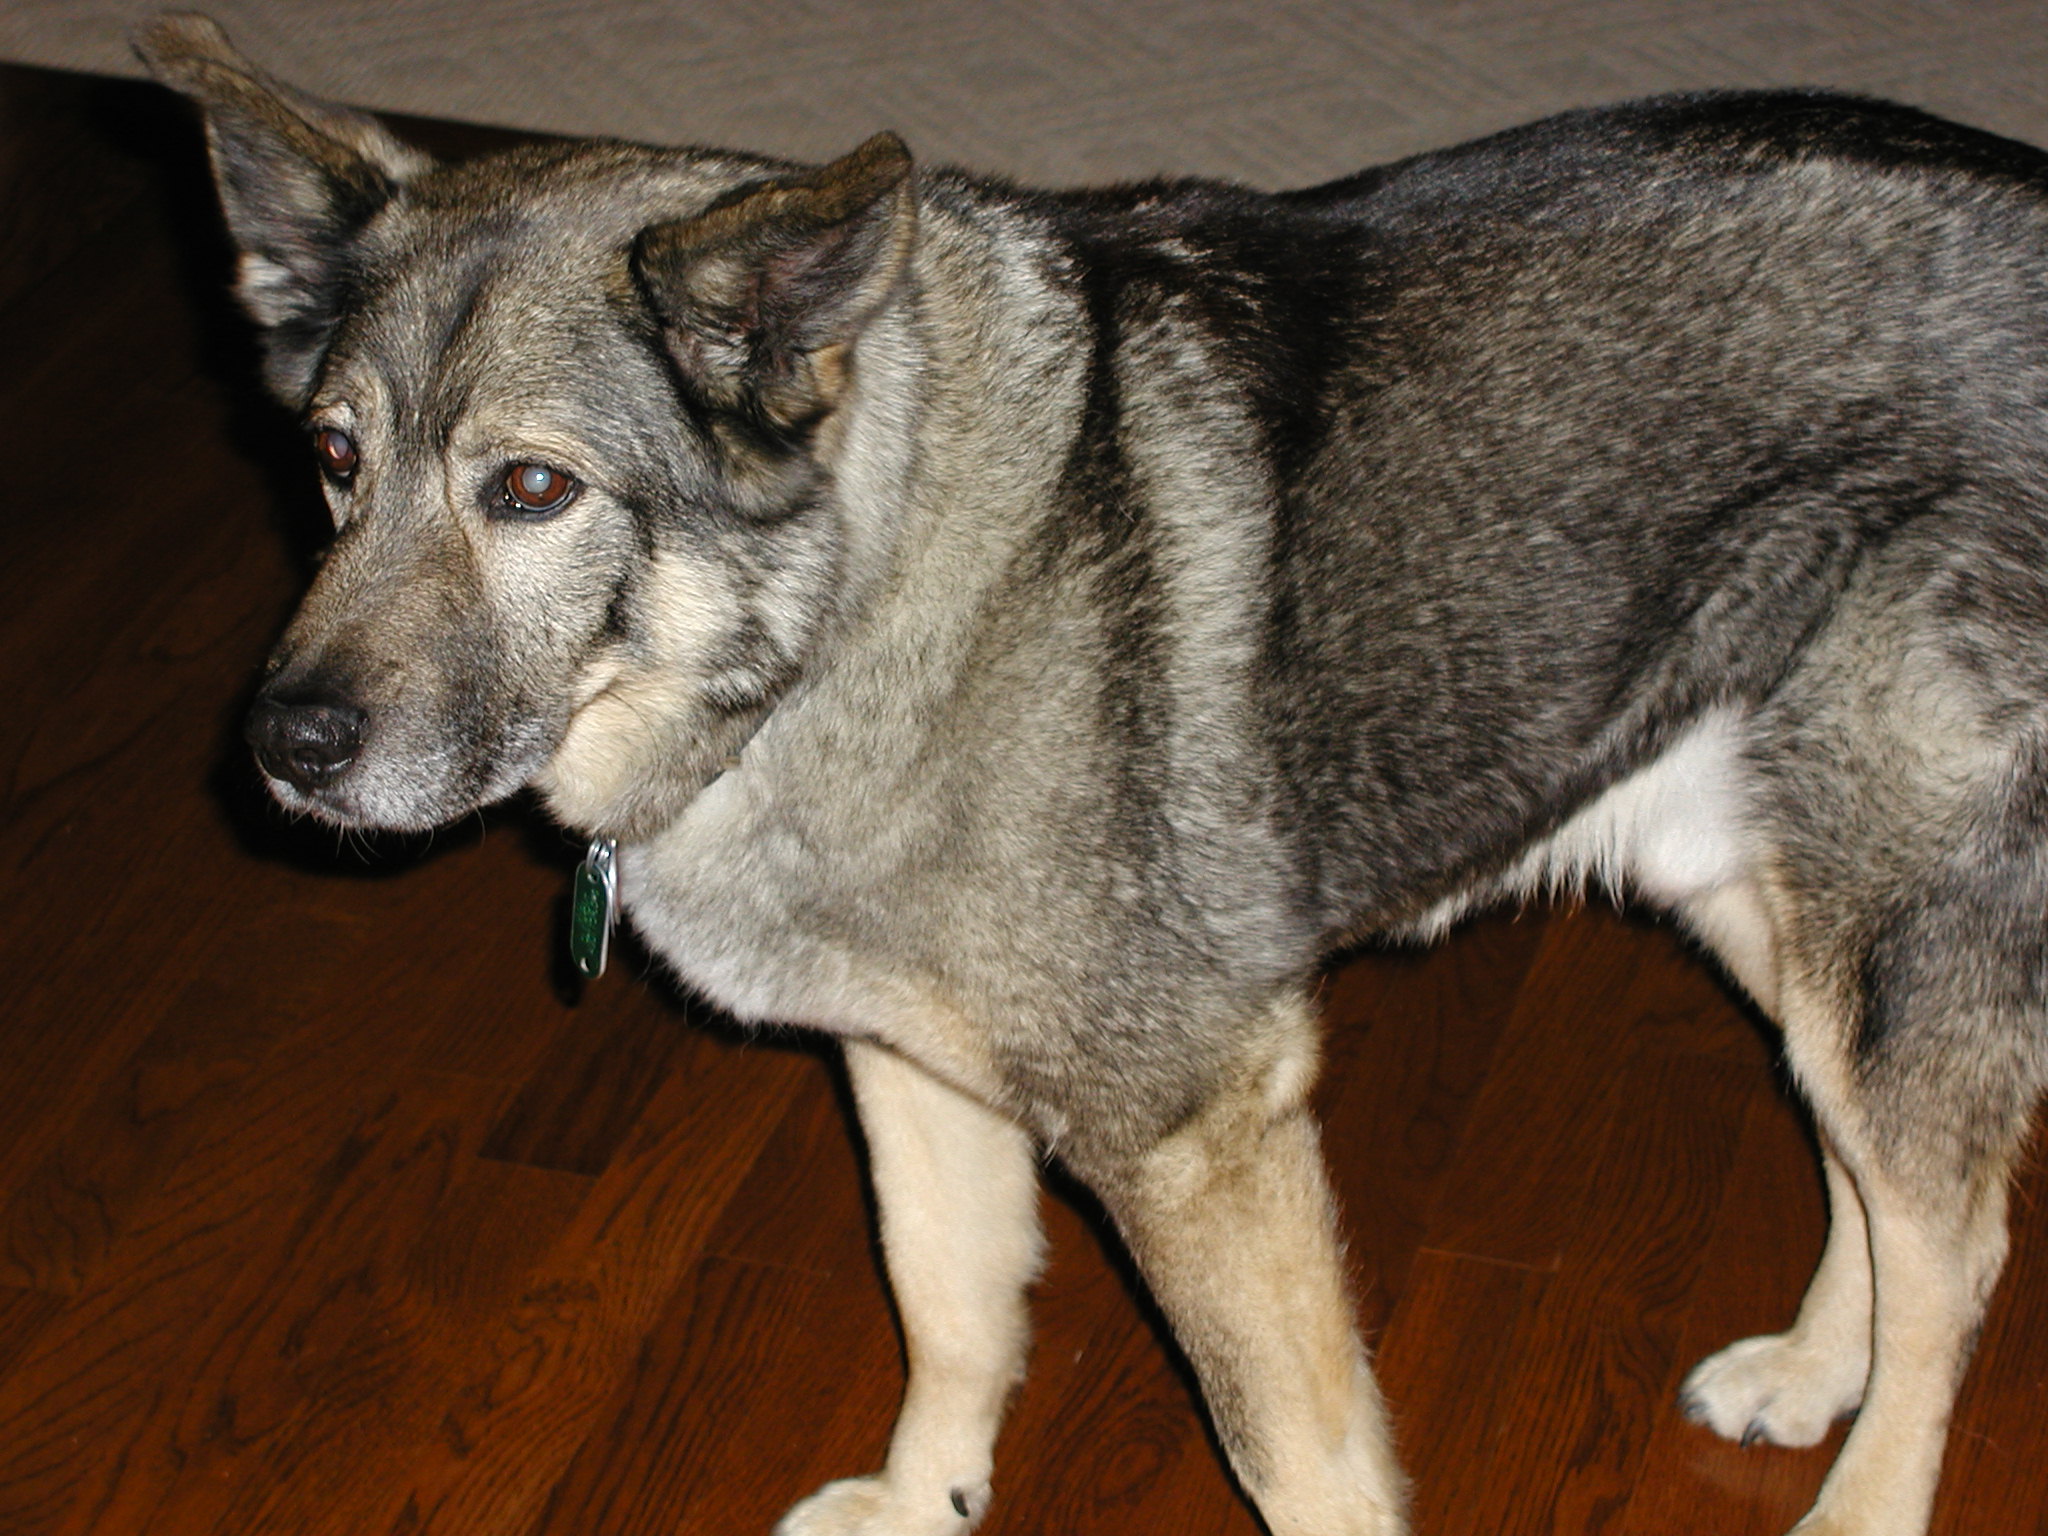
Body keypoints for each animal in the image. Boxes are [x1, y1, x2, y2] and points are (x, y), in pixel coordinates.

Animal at [140, 15, 2048, 1536]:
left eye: (530, 491)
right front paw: (925, 1497)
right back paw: (1811, 1369)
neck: (850, 603)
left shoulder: (1194, 1132)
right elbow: (950, 1309)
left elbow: (1298, 1460)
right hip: (1761, 903)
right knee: (1869, 1182)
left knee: (1956, 1249)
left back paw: (1862, 1500)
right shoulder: (915, 1078)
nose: (284, 747)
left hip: (1881, 927)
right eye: (332, 459)